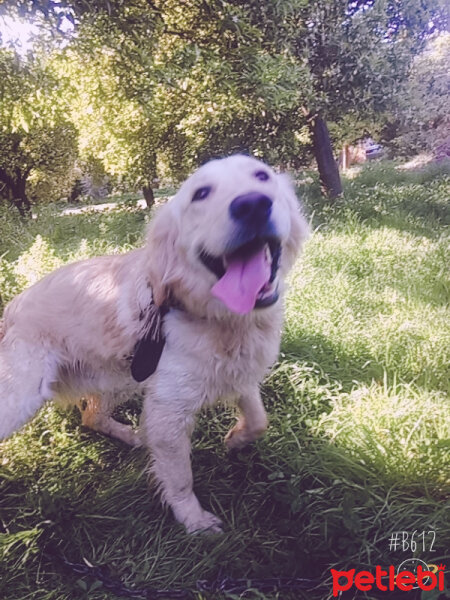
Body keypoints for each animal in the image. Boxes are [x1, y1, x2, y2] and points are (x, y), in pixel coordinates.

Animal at [0, 154, 310, 528]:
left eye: (262, 176)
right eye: (201, 193)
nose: (252, 204)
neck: (220, 319)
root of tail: (10, 309)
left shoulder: (238, 374)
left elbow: (259, 420)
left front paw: (236, 440)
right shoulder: (168, 411)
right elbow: (180, 478)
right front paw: (194, 521)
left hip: (123, 375)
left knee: (91, 415)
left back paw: (132, 435)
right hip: (22, 398)